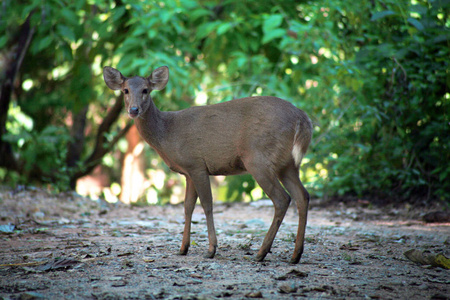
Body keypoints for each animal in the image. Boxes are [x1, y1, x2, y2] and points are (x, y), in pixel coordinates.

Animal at [103, 66, 312, 264]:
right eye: (125, 90)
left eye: (146, 90)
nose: (134, 110)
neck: (167, 135)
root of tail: (302, 118)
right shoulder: (187, 172)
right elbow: (187, 206)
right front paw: (183, 248)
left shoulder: (197, 165)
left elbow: (207, 204)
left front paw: (211, 249)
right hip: (287, 164)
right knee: (303, 196)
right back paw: (295, 255)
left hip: (258, 158)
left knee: (282, 198)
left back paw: (261, 253)